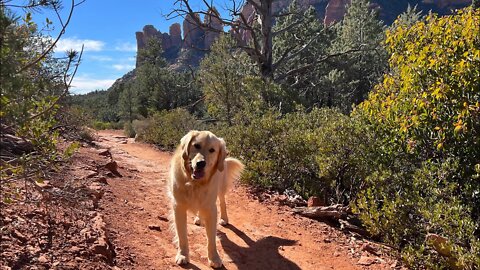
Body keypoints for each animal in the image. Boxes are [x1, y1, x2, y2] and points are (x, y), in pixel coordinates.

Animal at [169, 130, 244, 266]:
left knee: (223, 202)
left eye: (212, 150)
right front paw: (183, 255)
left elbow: (212, 238)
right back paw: (199, 218)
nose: (201, 163)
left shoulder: (210, 208)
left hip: (220, 188)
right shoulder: (178, 206)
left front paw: (214, 258)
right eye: (196, 145)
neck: (194, 183)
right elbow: (182, 235)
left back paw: (224, 218)